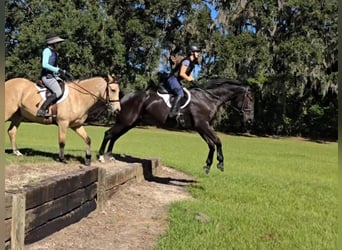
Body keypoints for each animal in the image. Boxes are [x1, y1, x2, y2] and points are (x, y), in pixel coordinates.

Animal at [97, 78, 254, 174]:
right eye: (251, 99)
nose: (250, 120)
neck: (208, 98)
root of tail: (124, 97)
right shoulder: (203, 125)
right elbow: (218, 141)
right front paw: (220, 163)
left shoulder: (200, 127)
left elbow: (211, 144)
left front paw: (208, 166)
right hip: (126, 122)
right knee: (108, 134)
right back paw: (101, 156)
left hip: (129, 123)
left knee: (114, 136)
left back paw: (110, 155)